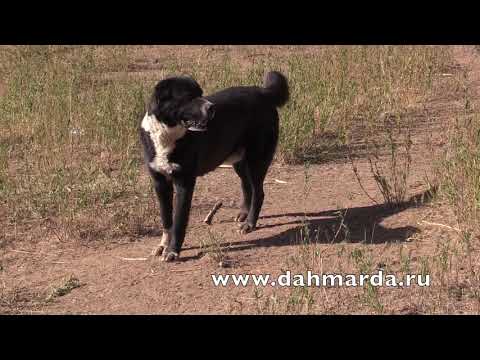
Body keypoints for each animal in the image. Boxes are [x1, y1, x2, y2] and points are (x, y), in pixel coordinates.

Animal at [139, 71, 288, 262]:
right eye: (188, 97)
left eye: (201, 93)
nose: (212, 108)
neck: (167, 134)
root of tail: (263, 92)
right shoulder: (160, 183)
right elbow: (166, 219)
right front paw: (163, 245)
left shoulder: (184, 183)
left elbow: (179, 221)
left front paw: (173, 251)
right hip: (240, 161)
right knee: (247, 185)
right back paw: (243, 214)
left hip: (256, 160)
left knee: (259, 192)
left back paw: (249, 223)